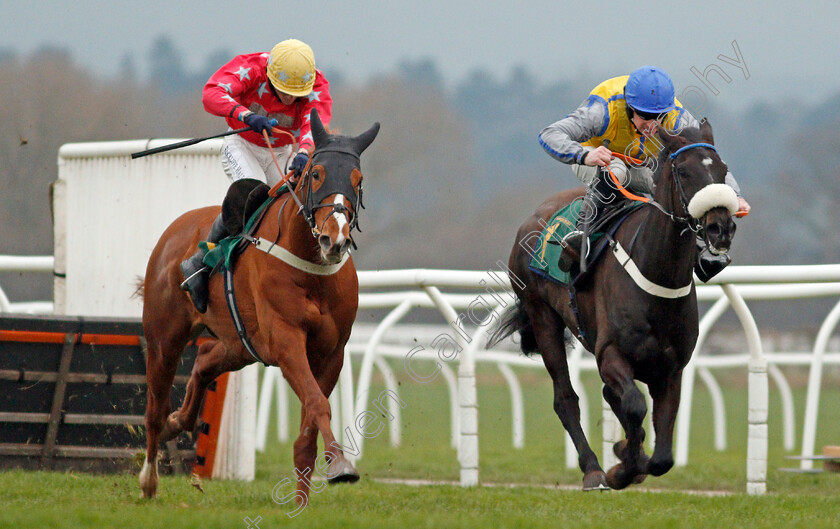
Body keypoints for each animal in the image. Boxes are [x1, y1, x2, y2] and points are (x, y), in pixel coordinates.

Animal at [139, 109, 380, 502]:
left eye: (357, 180)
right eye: (316, 173)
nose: (335, 239)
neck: (311, 268)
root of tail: (174, 230)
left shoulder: (331, 351)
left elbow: (309, 426)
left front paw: (303, 498)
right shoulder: (285, 340)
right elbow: (318, 403)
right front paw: (341, 465)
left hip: (241, 345)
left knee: (204, 360)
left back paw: (179, 421)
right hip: (164, 338)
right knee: (154, 410)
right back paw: (149, 479)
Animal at [488, 120, 740, 490]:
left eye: (722, 170)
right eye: (683, 171)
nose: (720, 227)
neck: (656, 279)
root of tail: (535, 217)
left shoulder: (672, 368)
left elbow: (663, 455)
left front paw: (631, 457)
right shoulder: (610, 353)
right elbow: (634, 405)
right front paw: (622, 468)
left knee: (609, 396)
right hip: (542, 316)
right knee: (566, 399)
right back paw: (593, 468)